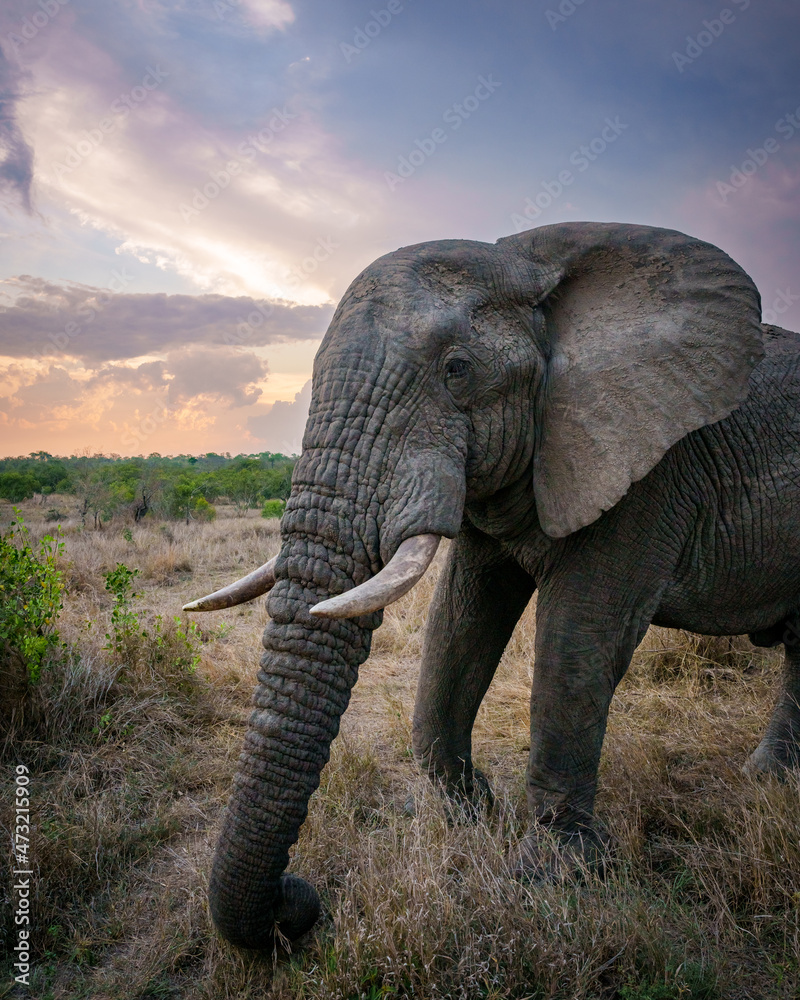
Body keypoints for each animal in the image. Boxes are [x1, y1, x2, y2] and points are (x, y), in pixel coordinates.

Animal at [184, 223, 800, 948]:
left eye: (458, 371)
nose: (299, 906)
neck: (530, 262)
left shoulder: (649, 466)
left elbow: (578, 644)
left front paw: (556, 876)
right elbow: (458, 624)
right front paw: (478, 815)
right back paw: (766, 784)